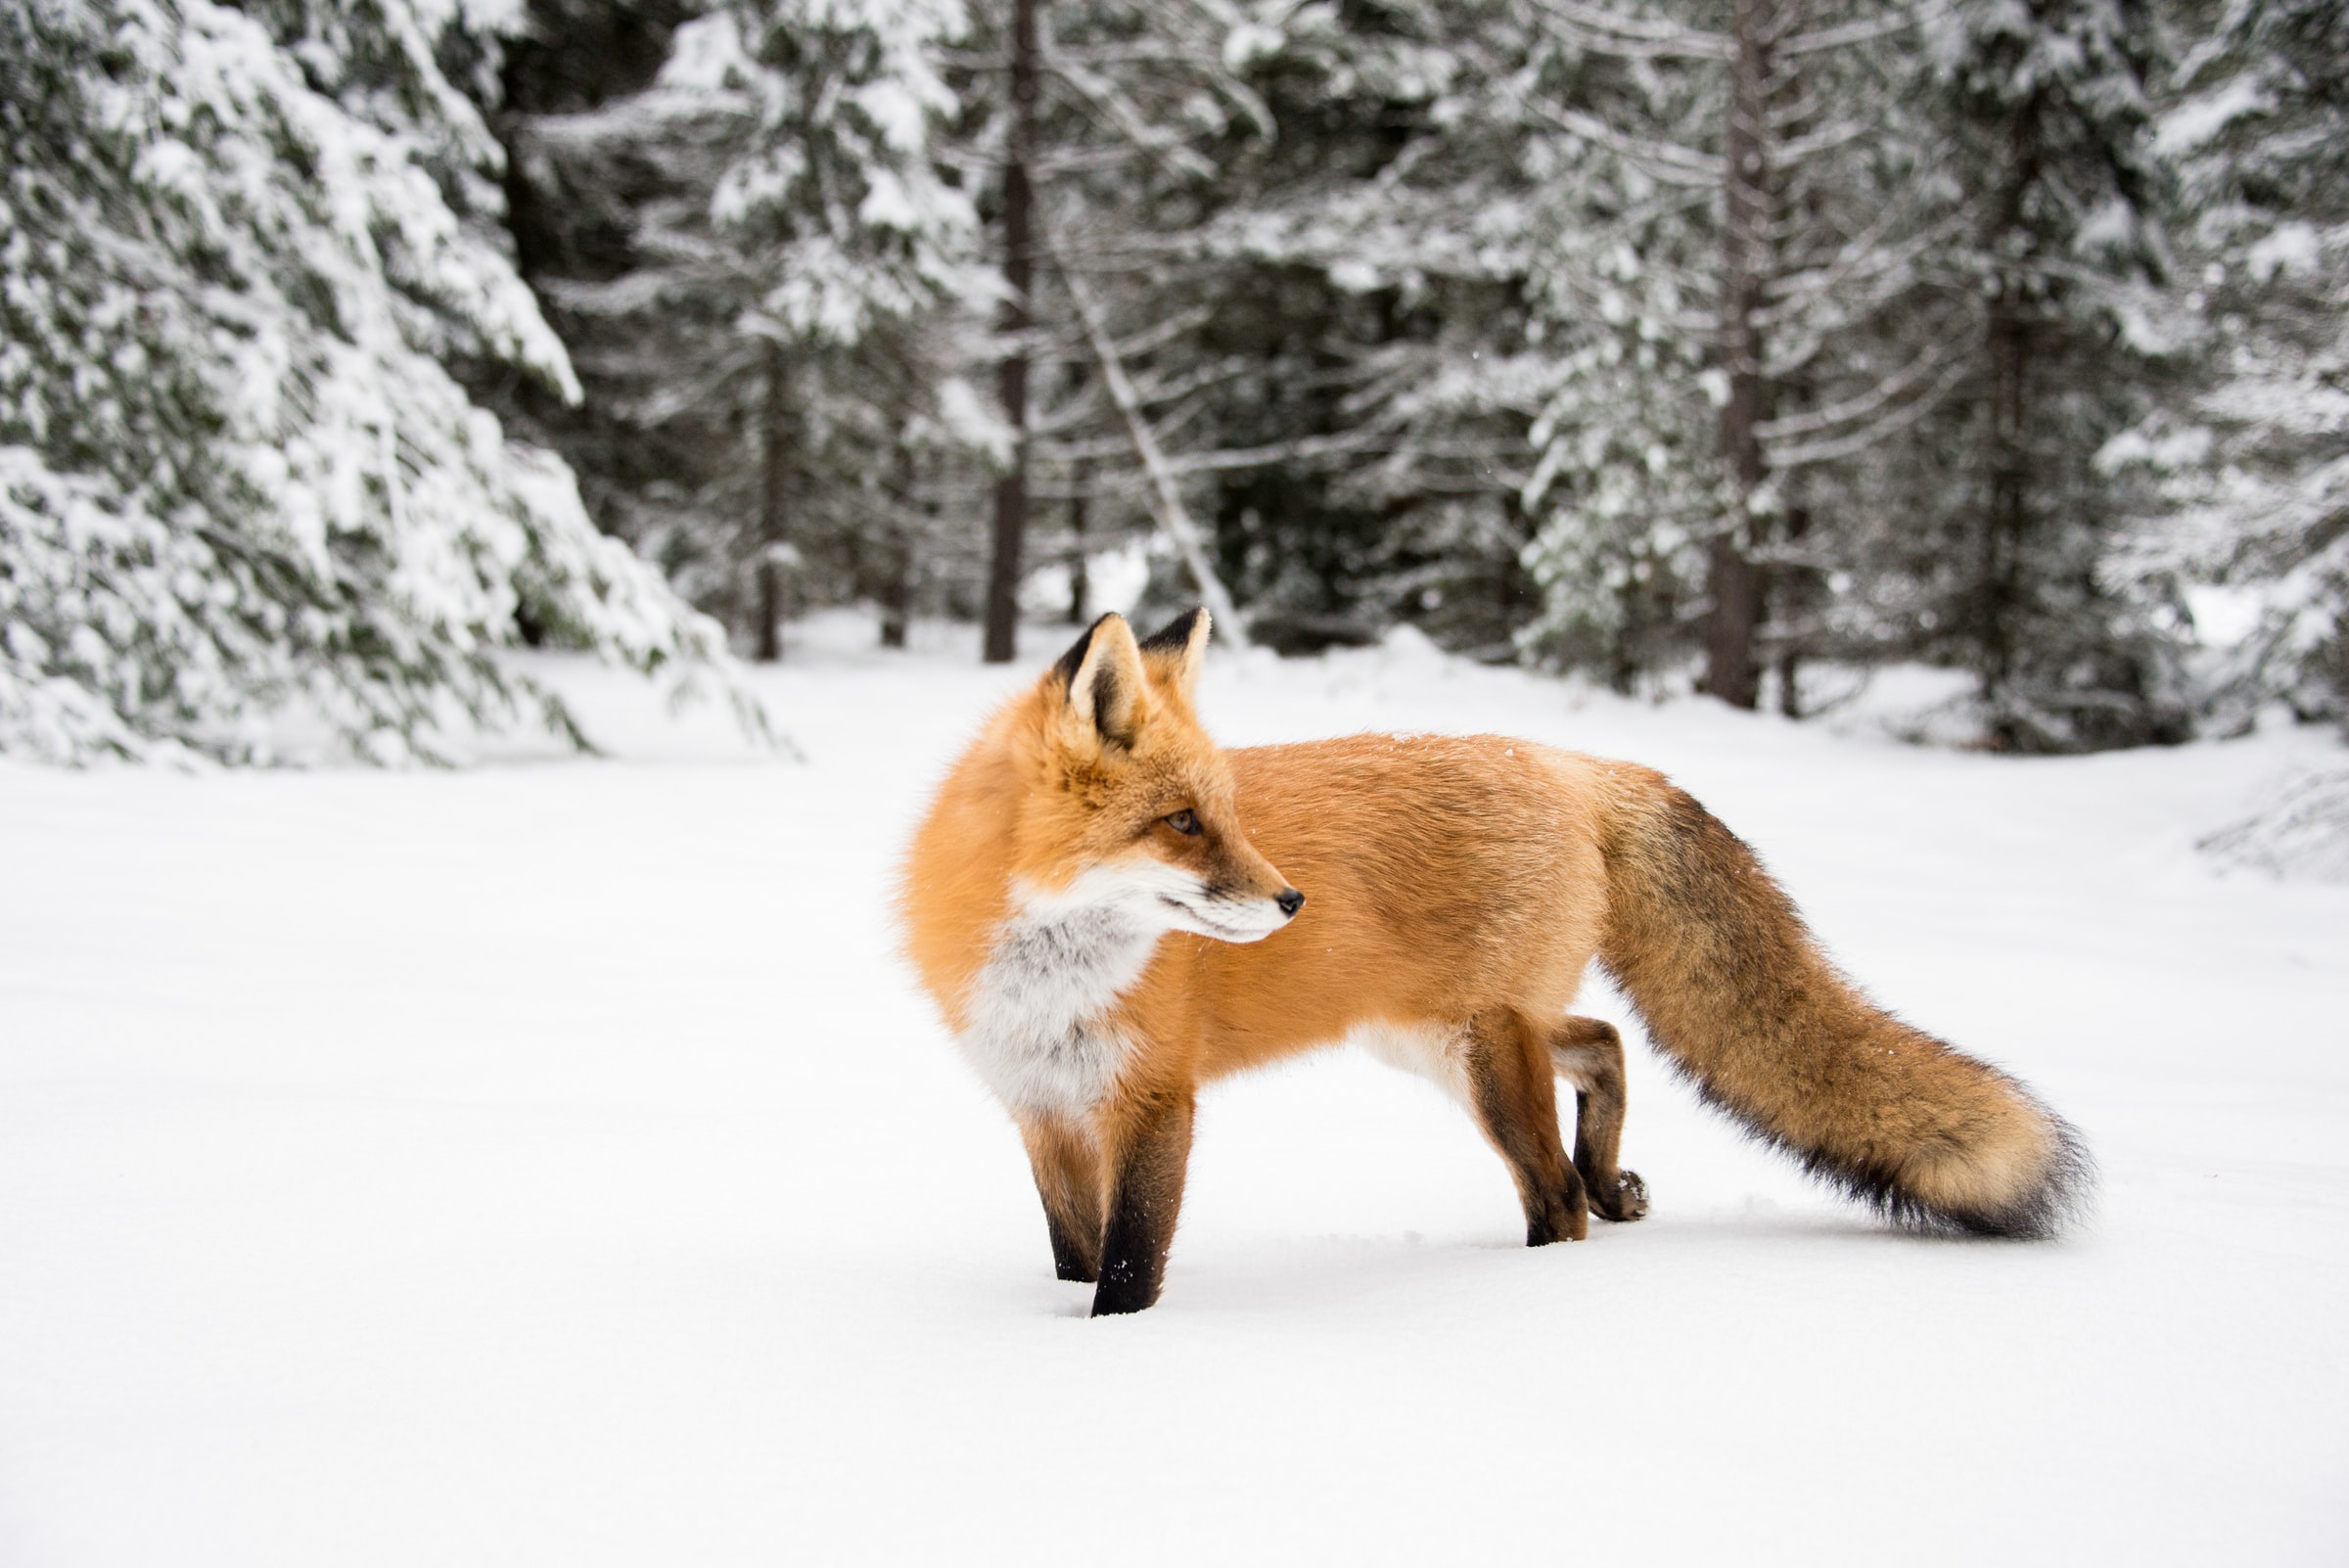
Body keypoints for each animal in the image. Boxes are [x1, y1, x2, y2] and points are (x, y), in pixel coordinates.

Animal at [897, 605, 2095, 1314]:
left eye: (1224, 816)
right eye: (1184, 823)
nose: (1291, 900)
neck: (1052, 979)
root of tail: (1573, 763)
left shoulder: (1154, 1102)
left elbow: (1129, 1265)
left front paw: (1112, 1352)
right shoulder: (1043, 1110)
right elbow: (1073, 1252)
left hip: (1480, 1052)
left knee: (1555, 1193)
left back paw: (1534, 1277)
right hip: (1438, 1037)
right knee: (1605, 1042)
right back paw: (1613, 1182)